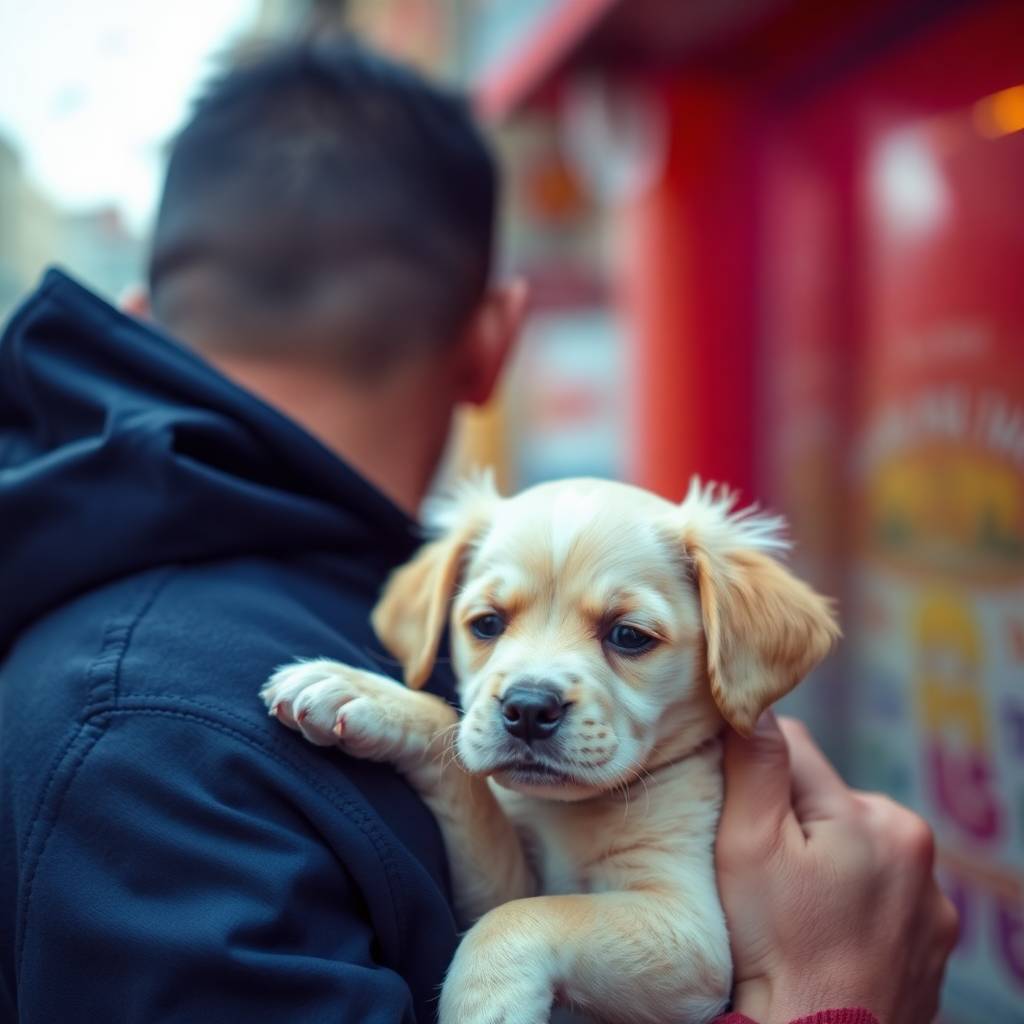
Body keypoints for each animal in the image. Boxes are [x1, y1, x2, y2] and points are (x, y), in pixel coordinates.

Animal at [260, 477, 835, 1024]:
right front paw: (367, 694)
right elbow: (469, 791)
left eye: (628, 636)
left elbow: (535, 913)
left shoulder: (691, 927)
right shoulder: (500, 880)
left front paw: (486, 1004)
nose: (529, 710)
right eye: (487, 624)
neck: (569, 813)